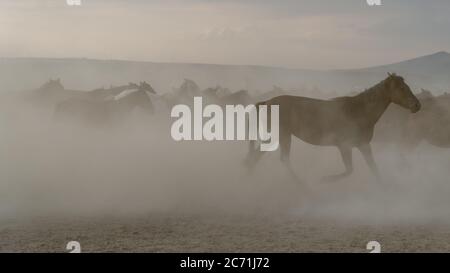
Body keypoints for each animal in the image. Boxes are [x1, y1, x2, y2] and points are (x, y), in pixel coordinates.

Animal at [244, 73, 420, 182]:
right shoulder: (345, 146)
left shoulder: (363, 145)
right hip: (282, 136)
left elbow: (374, 168)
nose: (417, 105)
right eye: (402, 88)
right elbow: (349, 170)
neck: (359, 111)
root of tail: (266, 102)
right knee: (281, 159)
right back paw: (303, 187)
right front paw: (325, 180)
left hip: (275, 137)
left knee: (255, 157)